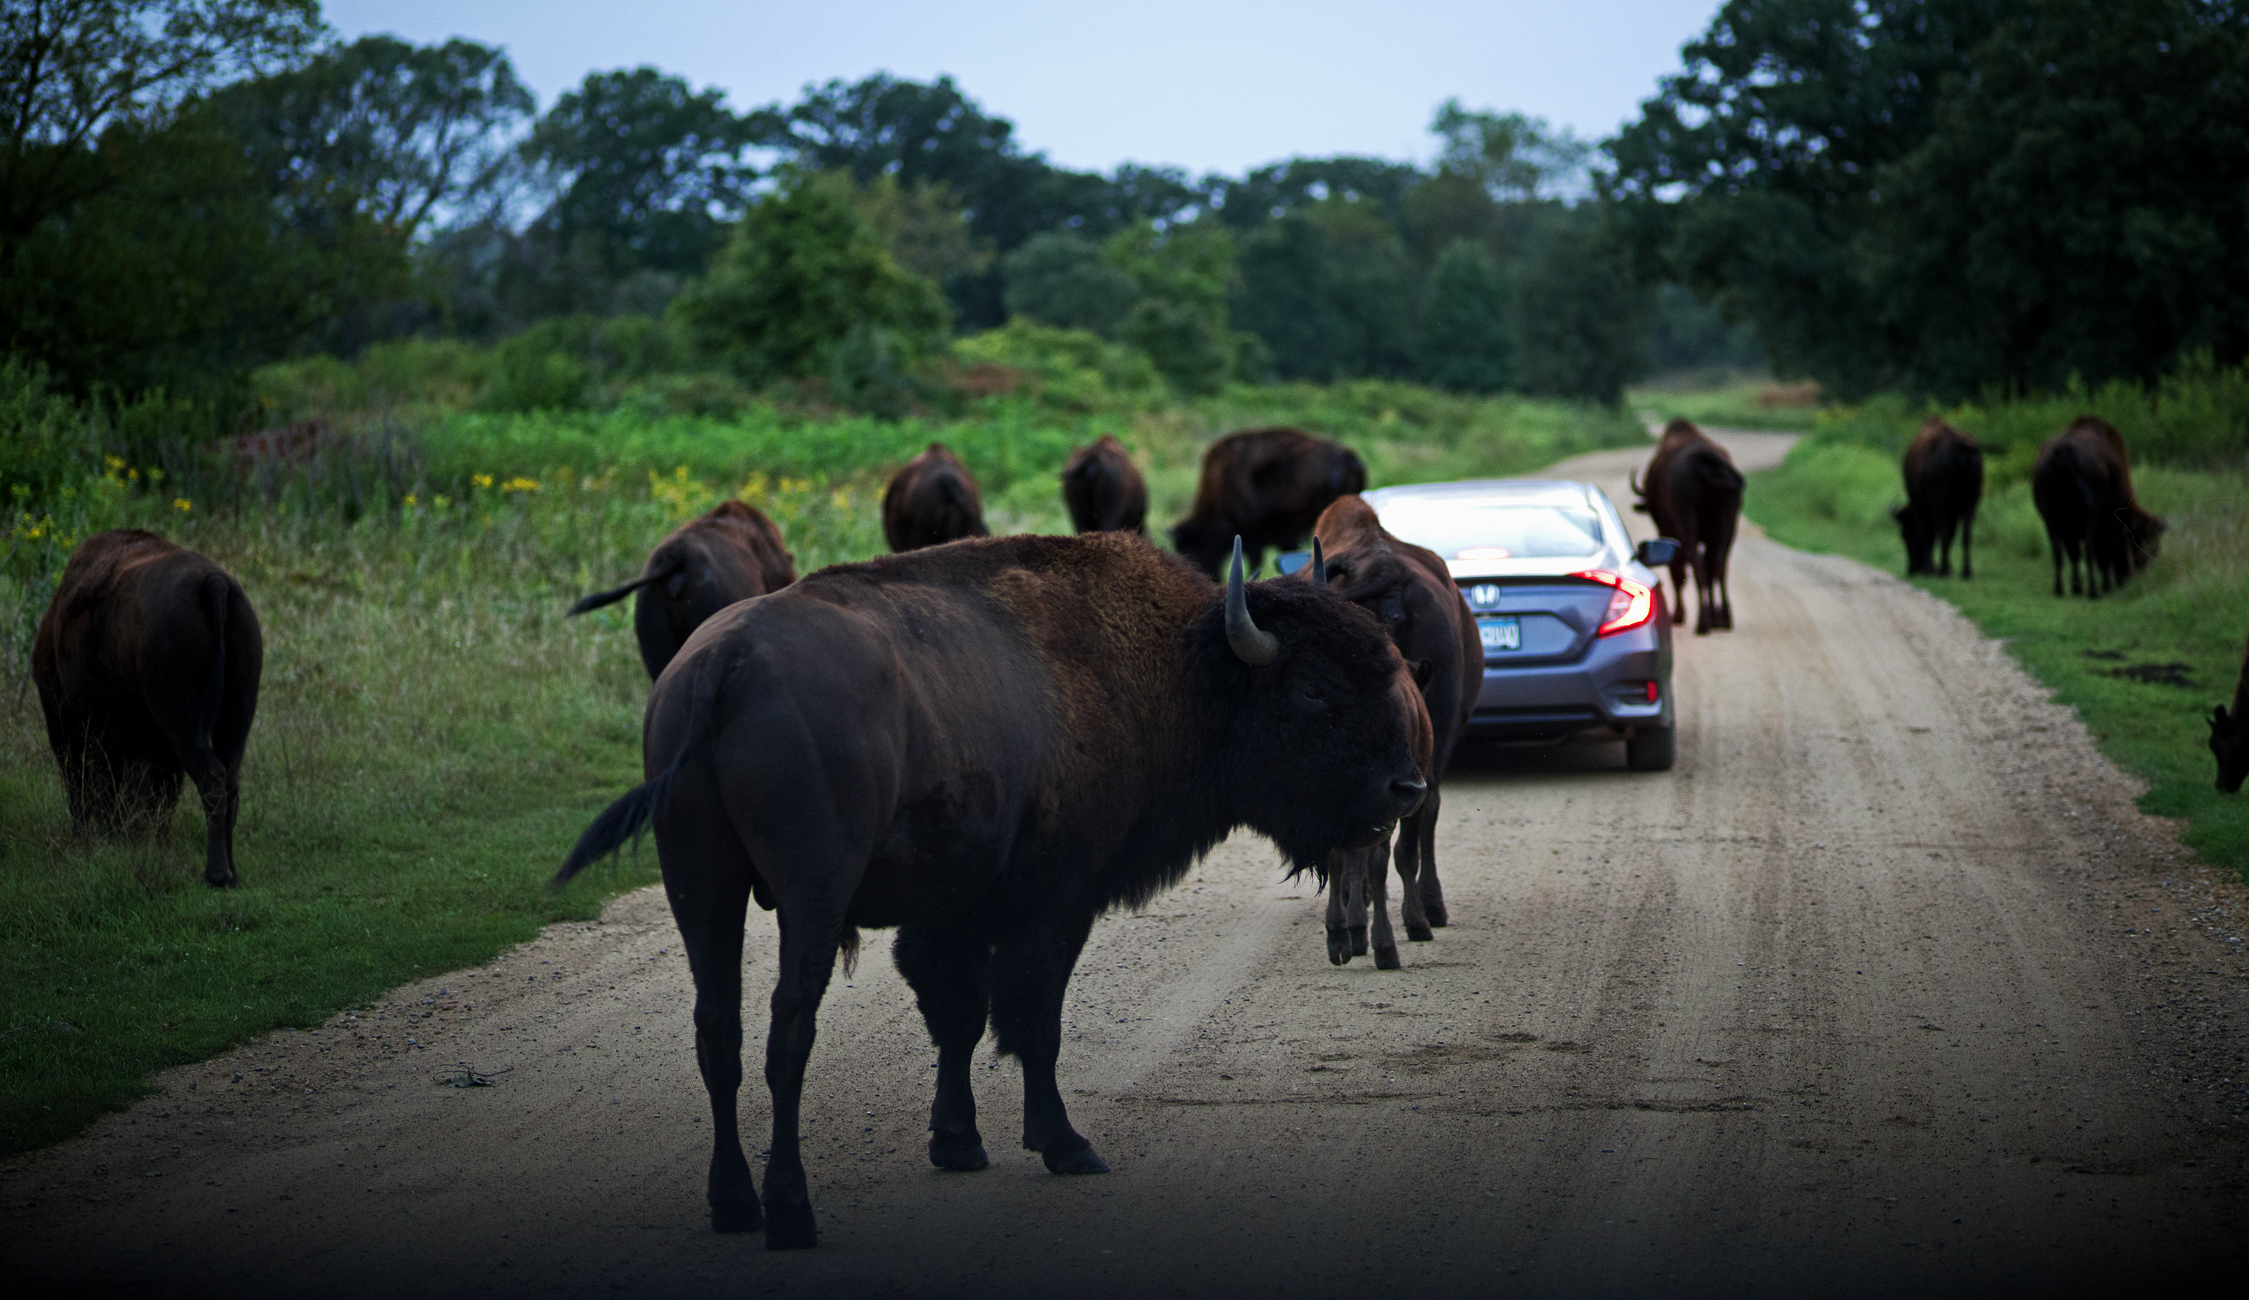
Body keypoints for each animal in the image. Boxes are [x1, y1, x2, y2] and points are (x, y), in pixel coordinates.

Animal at [32, 530, 262, 887]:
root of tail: (215, 582)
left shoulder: (69, 726)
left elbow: (83, 783)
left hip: (181, 722)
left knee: (210, 777)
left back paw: (216, 875)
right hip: (235, 716)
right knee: (229, 782)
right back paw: (232, 873)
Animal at [556, 532, 1428, 1250]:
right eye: (1311, 688)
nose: (1406, 786)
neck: (1176, 668)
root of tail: (725, 663)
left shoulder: (954, 911)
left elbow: (958, 1019)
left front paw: (958, 1144)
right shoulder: (1055, 904)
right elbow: (1031, 1020)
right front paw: (1067, 1145)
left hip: (700, 884)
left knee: (718, 1031)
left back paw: (733, 1204)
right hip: (809, 891)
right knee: (787, 1030)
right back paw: (790, 1213)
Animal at [1631, 419, 1743, 635]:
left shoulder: (1667, 533)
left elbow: (1677, 572)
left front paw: (1677, 616)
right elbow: (1710, 568)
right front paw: (1715, 616)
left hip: (1687, 527)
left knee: (1696, 566)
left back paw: (1702, 622)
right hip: (1728, 526)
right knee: (1718, 565)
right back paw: (1724, 619)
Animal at [1895, 417, 1984, 578]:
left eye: (1905, 534)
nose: (1912, 568)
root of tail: (1960, 447)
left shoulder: (1920, 505)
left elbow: (1928, 532)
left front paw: (1930, 568)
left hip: (1941, 502)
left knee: (1943, 531)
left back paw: (1943, 570)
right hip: (1971, 501)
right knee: (1966, 533)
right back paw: (1966, 572)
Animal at [2032, 416, 2165, 599]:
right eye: (2150, 544)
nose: (2137, 574)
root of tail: (2064, 451)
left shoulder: (2067, 529)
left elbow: (2073, 554)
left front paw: (2076, 587)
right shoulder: (2109, 523)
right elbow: (2104, 552)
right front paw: (2106, 585)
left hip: (2050, 518)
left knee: (2059, 551)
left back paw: (2059, 589)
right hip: (2089, 516)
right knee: (2090, 550)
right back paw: (2094, 591)